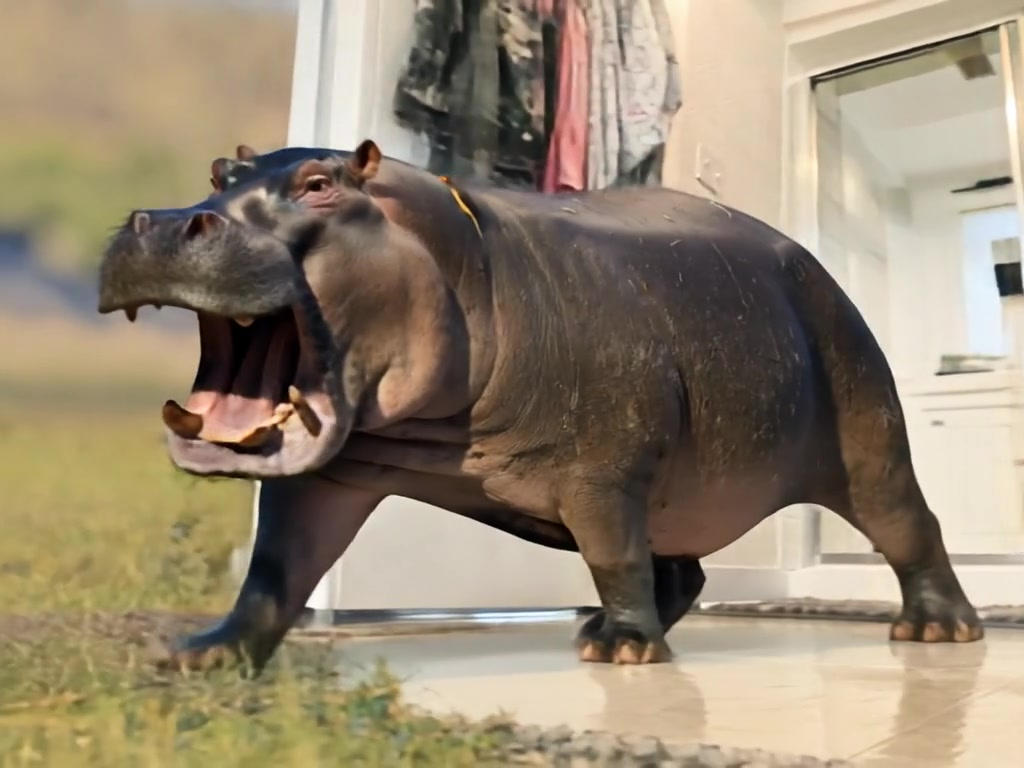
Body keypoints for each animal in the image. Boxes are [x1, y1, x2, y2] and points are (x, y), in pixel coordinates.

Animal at [97, 140, 983, 671]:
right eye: (220, 172)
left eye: (319, 185)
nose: (161, 222)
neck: (462, 255)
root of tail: (812, 260)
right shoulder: (326, 477)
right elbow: (276, 569)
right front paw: (200, 654)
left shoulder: (602, 470)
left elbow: (612, 556)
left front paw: (626, 653)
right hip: (679, 488)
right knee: (683, 566)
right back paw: (592, 632)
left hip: (866, 432)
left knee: (911, 524)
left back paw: (937, 631)